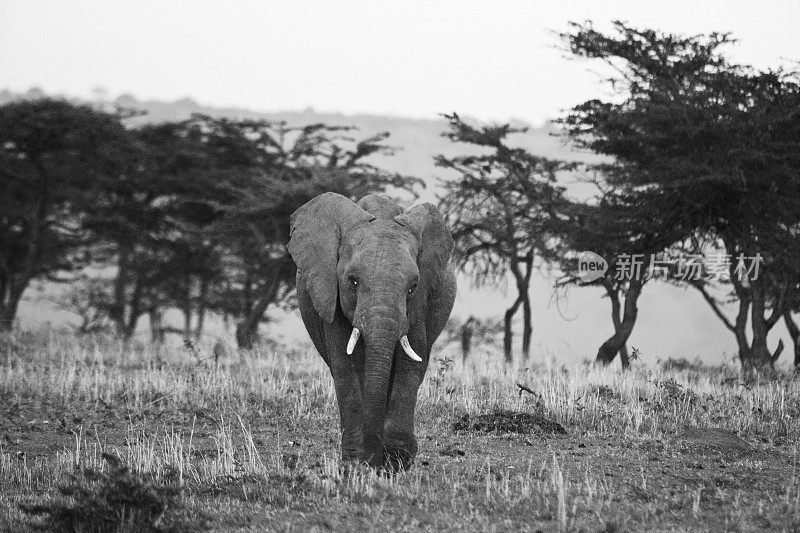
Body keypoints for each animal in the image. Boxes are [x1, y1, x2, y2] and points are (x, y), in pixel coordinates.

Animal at [288, 191, 456, 470]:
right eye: (352, 281)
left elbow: (410, 365)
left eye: (413, 287)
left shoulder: (418, 307)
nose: (375, 460)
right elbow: (345, 365)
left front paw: (396, 461)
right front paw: (358, 462)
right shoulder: (331, 296)